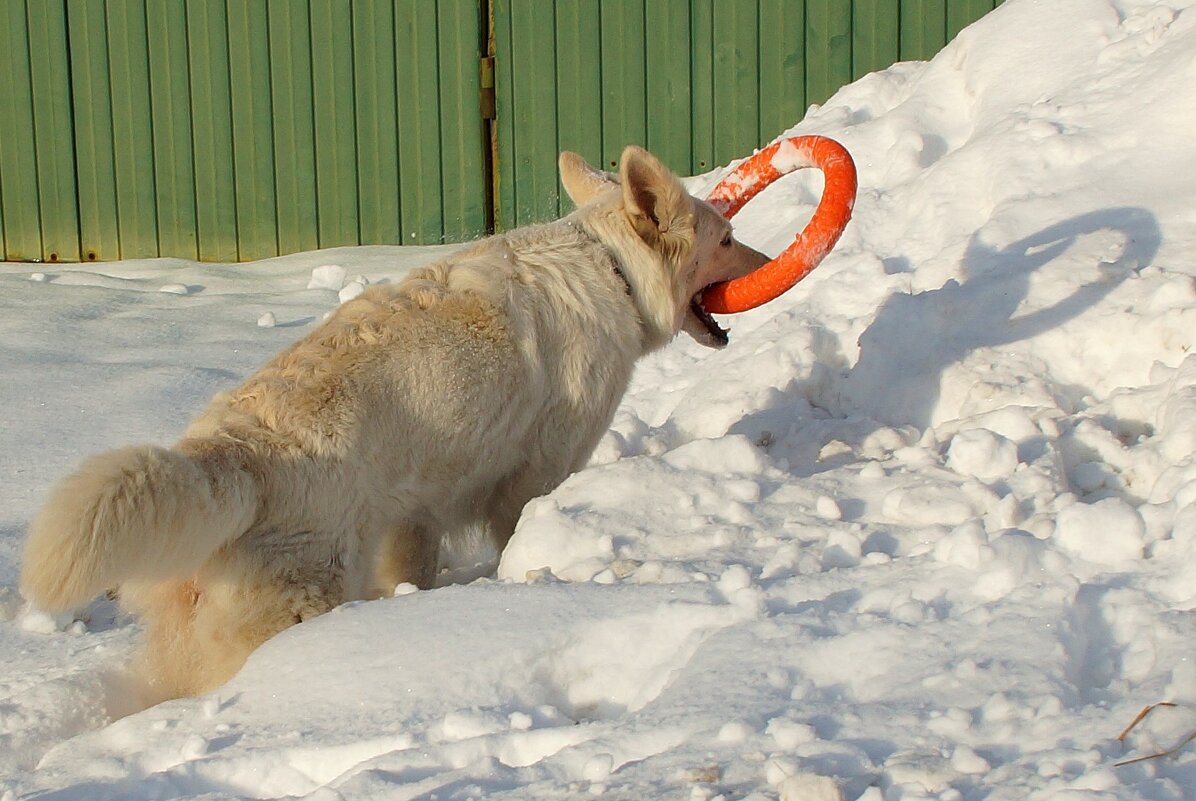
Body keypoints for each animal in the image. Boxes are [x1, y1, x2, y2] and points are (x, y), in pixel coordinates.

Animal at [23, 145, 770, 702]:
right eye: (729, 238)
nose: (769, 264)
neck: (611, 266)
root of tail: (228, 452)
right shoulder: (533, 477)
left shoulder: (416, 512)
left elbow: (416, 567)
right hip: (302, 600)